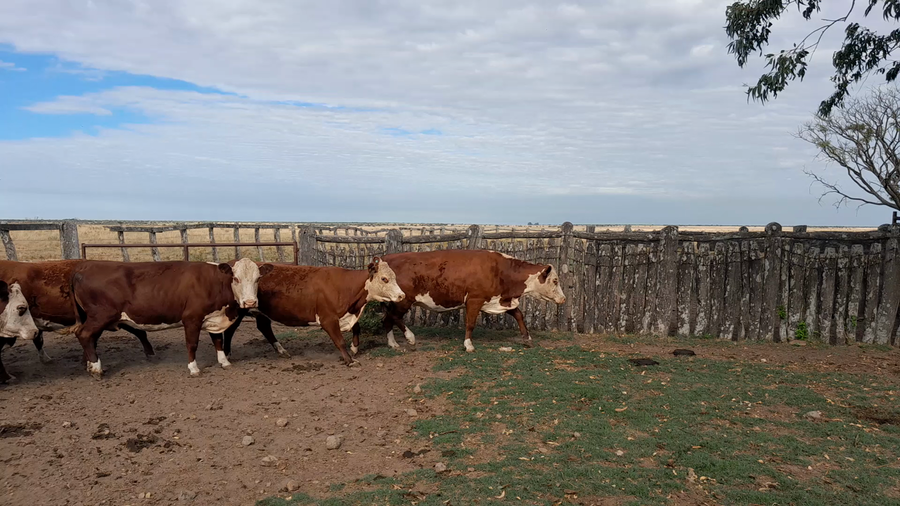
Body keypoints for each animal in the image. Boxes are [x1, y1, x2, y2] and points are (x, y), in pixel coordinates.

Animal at [60, 258, 274, 377]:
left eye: (258, 279)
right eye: (235, 278)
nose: (250, 302)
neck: (215, 283)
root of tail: (83, 266)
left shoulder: (213, 318)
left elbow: (218, 341)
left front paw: (224, 362)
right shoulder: (192, 318)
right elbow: (192, 344)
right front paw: (193, 369)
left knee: (89, 338)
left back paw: (90, 365)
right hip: (100, 316)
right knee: (85, 335)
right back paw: (96, 369)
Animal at [220, 256, 405, 367]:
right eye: (384, 279)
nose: (401, 295)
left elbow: (357, 328)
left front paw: (354, 349)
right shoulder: (328, 319)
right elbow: (339, 340)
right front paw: (349, 359)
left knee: (264, 327)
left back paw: (282, 351)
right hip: (239, 310)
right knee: (230, 331)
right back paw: (227, 354)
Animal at [349, 249, 566, 354]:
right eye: (555, 280)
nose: (563, 299)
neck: (500, 270)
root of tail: (387, 258)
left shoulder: (499, 299)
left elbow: (519, 315)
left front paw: (527, 338)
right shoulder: (475, 300)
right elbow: (470, 323)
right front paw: (468, 345)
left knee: (387, 319)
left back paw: (393, 343)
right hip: (403, 301)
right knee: (394, 317)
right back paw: (410, 338)